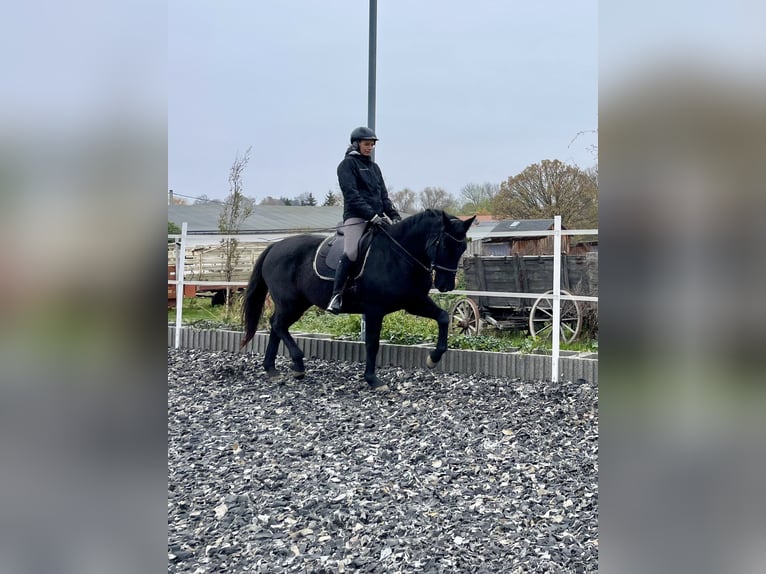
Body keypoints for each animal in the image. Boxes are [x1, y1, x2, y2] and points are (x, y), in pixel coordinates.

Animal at [243, 210, 476, 392]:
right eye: (444, 244)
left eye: (462, 248)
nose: (446, 285)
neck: (399, 254)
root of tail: (275, 247)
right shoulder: (374, 310)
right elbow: (372, 344)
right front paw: (373, 380)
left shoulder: (413, 302)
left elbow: (443, 317)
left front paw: (433, 358)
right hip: (290, 302)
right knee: (278, 324)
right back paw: (297, 363)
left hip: (297, 304)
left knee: (276, 326)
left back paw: (272, 369)